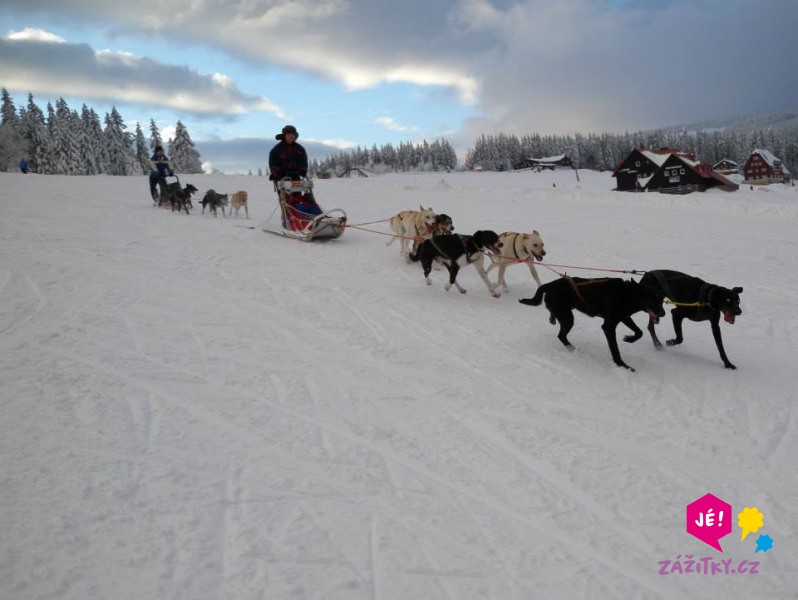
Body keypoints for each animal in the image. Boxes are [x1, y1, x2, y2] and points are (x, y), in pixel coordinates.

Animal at [520, 276, 664, 370]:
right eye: (652, 300)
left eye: (661, 300)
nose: (663, 313)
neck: (626, 295)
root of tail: (549, 285)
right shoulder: (609, 326)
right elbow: (615, 349)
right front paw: (622, 365)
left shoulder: (624, 317)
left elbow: (639, 332)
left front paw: (629, 338)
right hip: (568, 318)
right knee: (561, 335)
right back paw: (570, 347)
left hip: (565, 314)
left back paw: (552, 319)